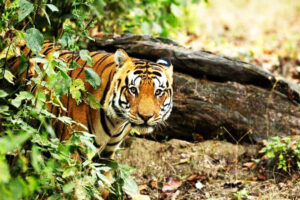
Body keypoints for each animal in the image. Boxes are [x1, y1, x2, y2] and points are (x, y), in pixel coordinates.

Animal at [6, 41, 173, 160]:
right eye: (133, 90)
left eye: (158, 92)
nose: (146, 117)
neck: (116, 122)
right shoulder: (73, 147)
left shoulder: (107, 154)